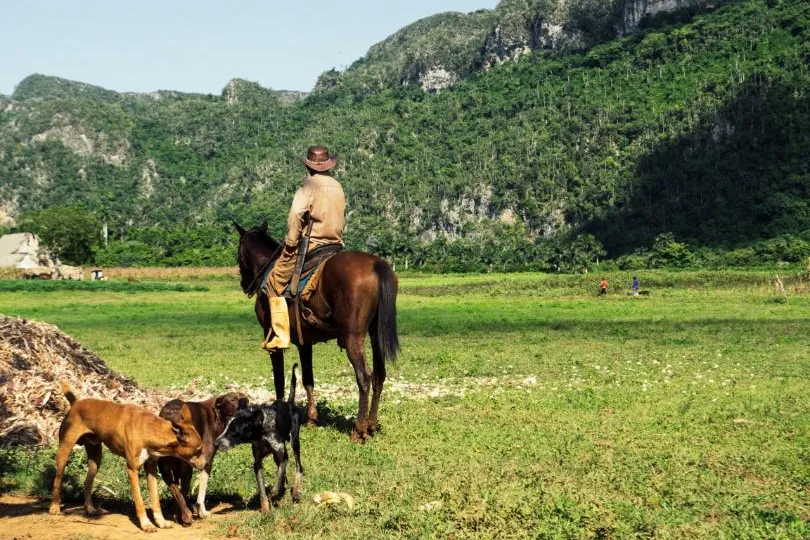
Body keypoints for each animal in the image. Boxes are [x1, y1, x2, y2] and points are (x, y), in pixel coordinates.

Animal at [49, 380, 205, 532]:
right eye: (198, 450)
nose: (205, 465)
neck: (148, 430)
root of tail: (76, 403)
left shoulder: (151, 468)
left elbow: (155, 499)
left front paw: (160, 522)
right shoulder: (132, 470)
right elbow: (140, 501)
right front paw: (146, 524)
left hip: (95, 458)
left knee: (87, 482)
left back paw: (90, 509)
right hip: (64, 450)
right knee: (57, 479)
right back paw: (55, 507)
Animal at [157, 392, 246, 528]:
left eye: (246, 399)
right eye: (233, 399)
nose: (246, 405)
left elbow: (177, 492)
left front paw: (177, 513)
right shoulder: (207, 461)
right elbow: (201, 490)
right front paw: (202, 512)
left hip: (166, 470)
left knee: (176, 490)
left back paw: (181, 515)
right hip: (186, 470)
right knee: (183, 490)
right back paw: (186, 517)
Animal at [213, 362, 302, 510]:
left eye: (234, 431)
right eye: (225, 426)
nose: (215, 443)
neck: (262, 433)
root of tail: (289, 403)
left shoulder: (283, 456)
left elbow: (278, 477)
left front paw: (275, 492)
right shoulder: (258, 462)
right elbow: (262, 490)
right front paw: (265, 508)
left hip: (294, 442)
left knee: (298, 467)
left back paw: (296, 491)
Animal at [234, 221, 398, 440]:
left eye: (238, 254)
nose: (245, 284)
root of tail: (376, 264)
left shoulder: (273, 339)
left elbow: (278, 379)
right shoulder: (305, 342)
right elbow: (308, 378)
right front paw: (312, 419)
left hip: (353, 337)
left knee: (364, 376)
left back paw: (358, 430)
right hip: (375, 335)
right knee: (379, 375)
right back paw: (370, 426)